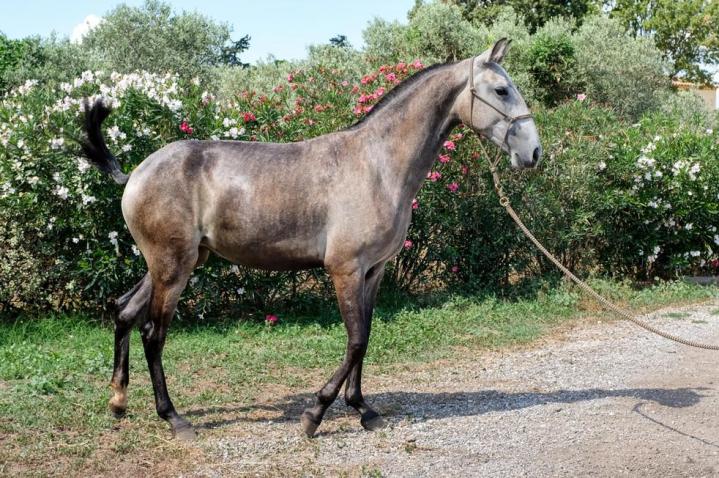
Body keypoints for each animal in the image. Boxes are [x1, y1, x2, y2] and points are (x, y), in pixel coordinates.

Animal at [80, 38, 541, 440]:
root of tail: (135, 173)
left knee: (125, 311)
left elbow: (365, 337)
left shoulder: (373, 272)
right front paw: (315, 414)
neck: (376, 164)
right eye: (501, 89)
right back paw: (174, 418)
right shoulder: (345, 269)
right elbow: (355, 341)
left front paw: (363, 409)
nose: (533, 153)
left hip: (174, 263)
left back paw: (118, 401)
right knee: (152, 333)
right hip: (173, 266)